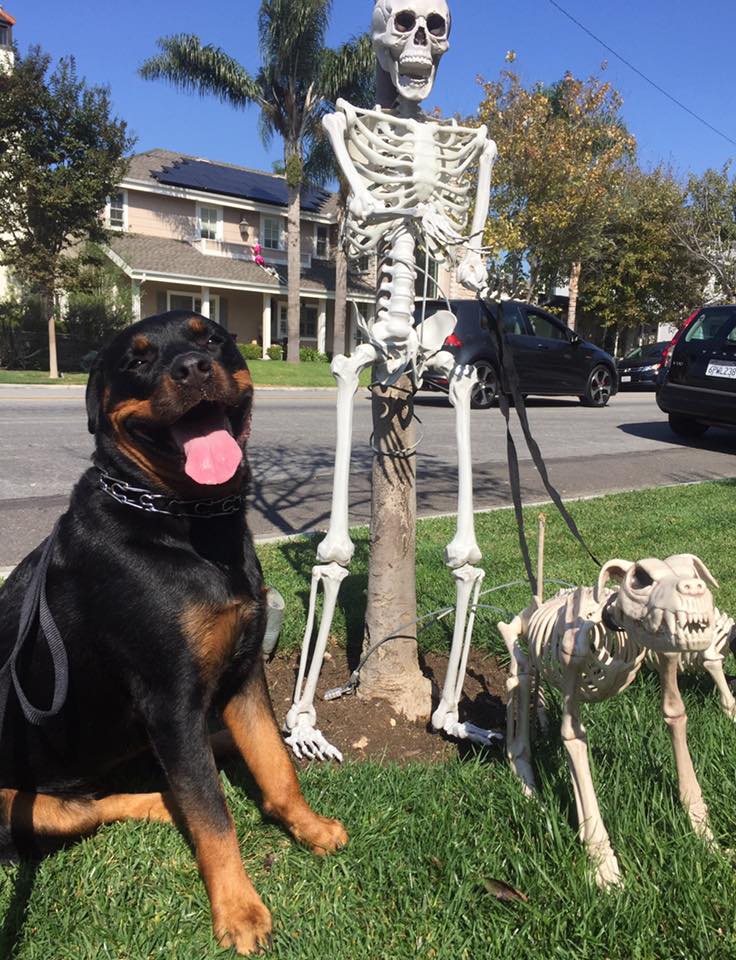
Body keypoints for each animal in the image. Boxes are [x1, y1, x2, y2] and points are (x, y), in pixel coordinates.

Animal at [0, 312, 348, 956]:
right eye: (136, 360)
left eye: (210, 336)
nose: (191, 368)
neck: (179, 519)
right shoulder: (169, 698)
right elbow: (213, 815)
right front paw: (239, 910)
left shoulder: (244, 673)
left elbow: (276, 766)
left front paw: (309, 827)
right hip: (16, 808)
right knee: (94, 806)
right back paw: (169, 801)